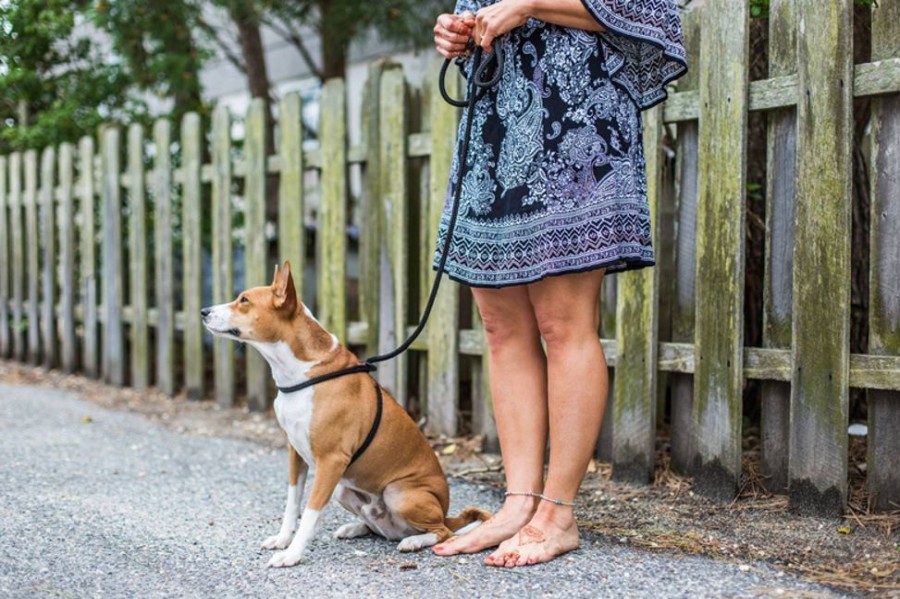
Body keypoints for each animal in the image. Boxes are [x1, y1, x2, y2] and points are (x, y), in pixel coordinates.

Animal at [202, 262, 492, 568]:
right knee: (383, 528)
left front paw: (292, 554)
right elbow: (292, 504)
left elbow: (310, 512)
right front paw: (282, 540)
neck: (302, 372)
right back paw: (356, 528)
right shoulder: (295, 452)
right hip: (345, 489)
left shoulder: (331, 461)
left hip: (398, 493)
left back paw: (414, 541)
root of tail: (445, 511)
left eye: (244, 300)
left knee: (442, 531)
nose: (204, 311)